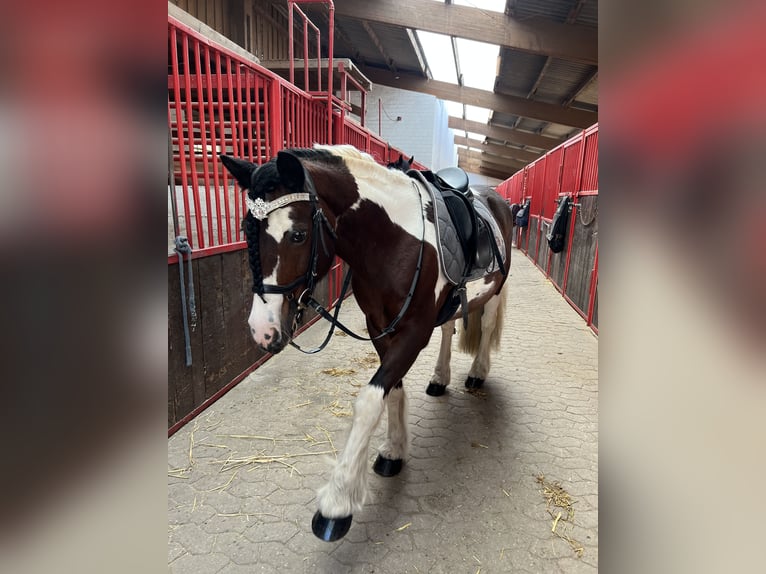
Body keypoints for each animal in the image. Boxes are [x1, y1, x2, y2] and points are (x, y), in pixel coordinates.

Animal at [220, 145, 514, 542]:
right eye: (244, 229)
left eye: (297, 235)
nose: (261, 330)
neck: (392, 241)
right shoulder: (379, 326)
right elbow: (394, 389)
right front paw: (393, 450)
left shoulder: (414, 331)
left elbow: (371, 400)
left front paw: (337, 503)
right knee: (450, 330)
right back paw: (440, 378)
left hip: (495, 289)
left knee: (486, 321)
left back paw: (477, 373)